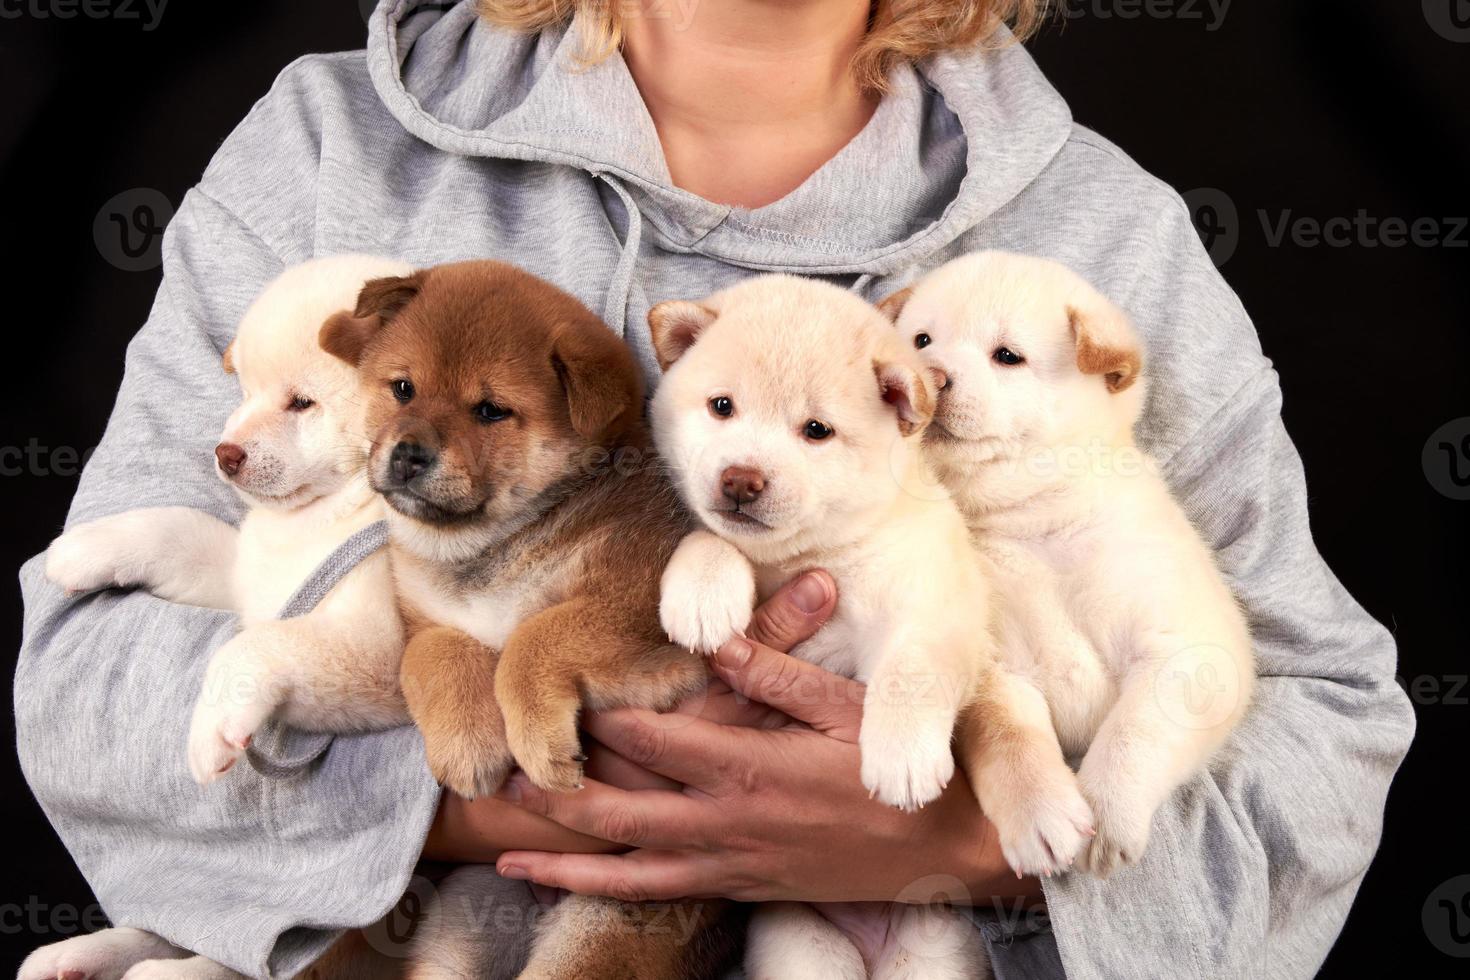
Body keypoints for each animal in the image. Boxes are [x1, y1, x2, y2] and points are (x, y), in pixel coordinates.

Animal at [25, 257, 414, 980]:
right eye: (247, 392)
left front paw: (211, 728)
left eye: (301, 403)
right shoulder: (242, 577)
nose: (224, 453)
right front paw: (87, 547)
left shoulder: (379, 653)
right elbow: (175, 529)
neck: (315, 524)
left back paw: (158, 971)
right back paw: (82, 954)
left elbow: (252, 649)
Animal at [324, 258, 732, 980]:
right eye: (403, 389)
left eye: (490, 410)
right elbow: (435, 657)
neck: (497, 546)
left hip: (602, 935)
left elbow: (534, 638)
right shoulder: (426, 621)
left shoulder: (641, 607)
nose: (407, 453)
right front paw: (469, 742)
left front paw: (538, 741)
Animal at [649, 274, 1087, 980]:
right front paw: (702, 590)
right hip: (801, 945)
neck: (811, 558)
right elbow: (710, 537)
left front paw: (905, 756)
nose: (740, 480)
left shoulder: (932, 602)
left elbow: (924, 677)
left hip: (933, 950)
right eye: (721, 406)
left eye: (817, 430)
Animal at [876, 251, 1258, 875]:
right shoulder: (994, 664)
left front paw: (1108, 807)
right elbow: (1008, 734)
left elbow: (1135, 730)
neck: (1029, 521)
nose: (930, 374)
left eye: (1008, 356)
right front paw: (1039, 811)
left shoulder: (1186, 645)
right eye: (921, 340)